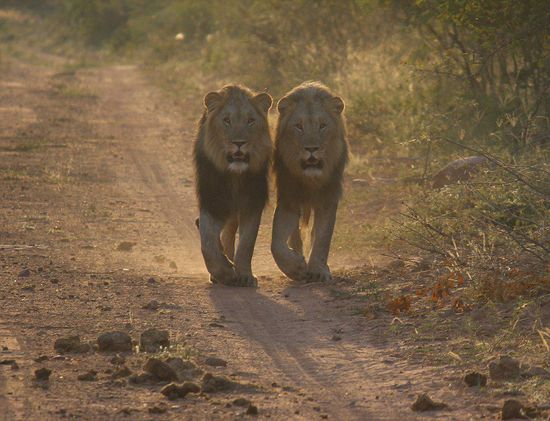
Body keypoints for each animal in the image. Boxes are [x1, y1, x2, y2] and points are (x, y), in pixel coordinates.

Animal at [194, 83, 274, 288]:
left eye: (251, 121)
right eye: (227, 121)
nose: (239, 143)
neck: (235, 176)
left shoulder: (252, 202)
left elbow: (246, 244)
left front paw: (244, 275)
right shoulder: (213, 202)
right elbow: (208, 244)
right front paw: (225, 273)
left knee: (229, 232)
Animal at [272, 81, 350, 282]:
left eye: (322, 125)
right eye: (299, 126)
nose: (312, 149)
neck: (310, 178)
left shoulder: (328, 197)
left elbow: (322, 237)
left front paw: (318, 270)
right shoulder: (289, 198)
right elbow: (276, 241)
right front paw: (294, 268)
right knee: (295, 236)